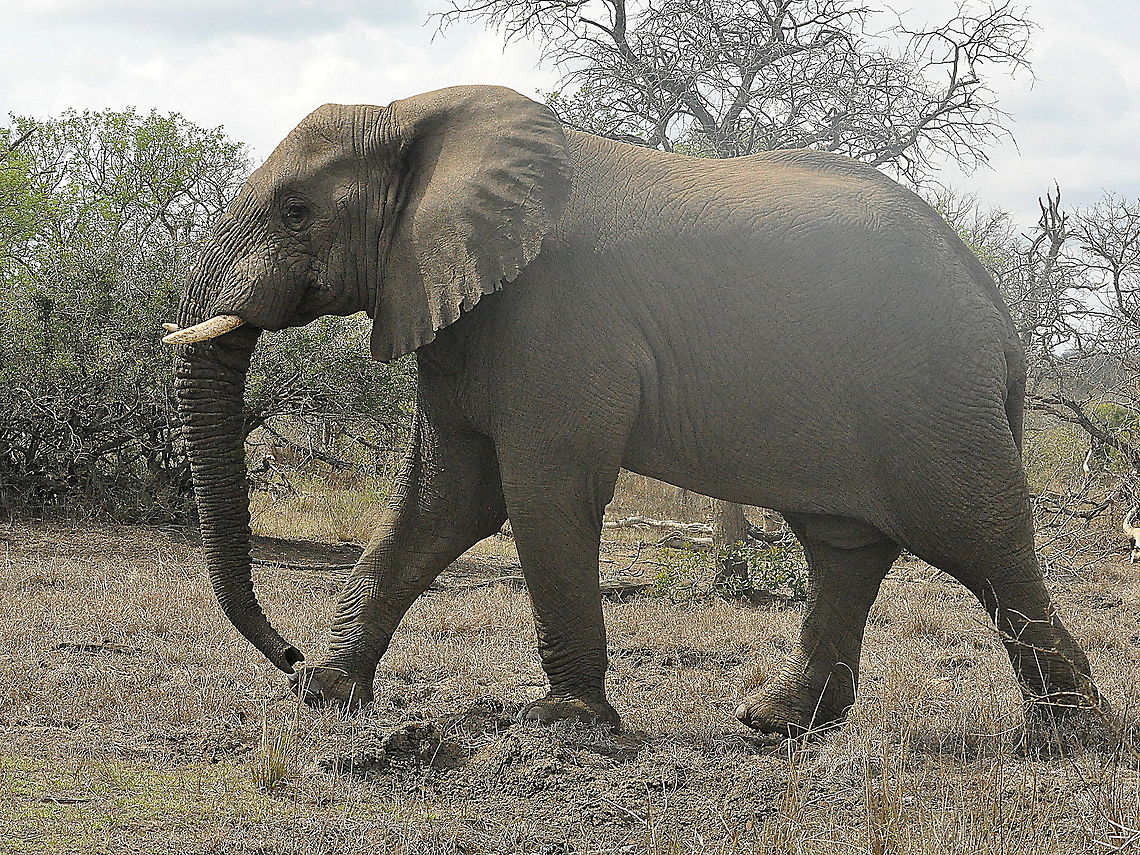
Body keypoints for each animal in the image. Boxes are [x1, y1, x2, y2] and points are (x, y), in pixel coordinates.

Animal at [165, 84, 1101, 735]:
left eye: (296, 212)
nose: (284, 655)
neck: (416, 116)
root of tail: (998, 315)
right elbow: (442, 502)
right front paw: (329, 695)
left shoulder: (556, 323)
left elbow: (538, 496)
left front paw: (564, 724)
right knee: (844, 549)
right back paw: (774, 722)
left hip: (933, 394)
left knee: (983, 542)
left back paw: (1067, 739)